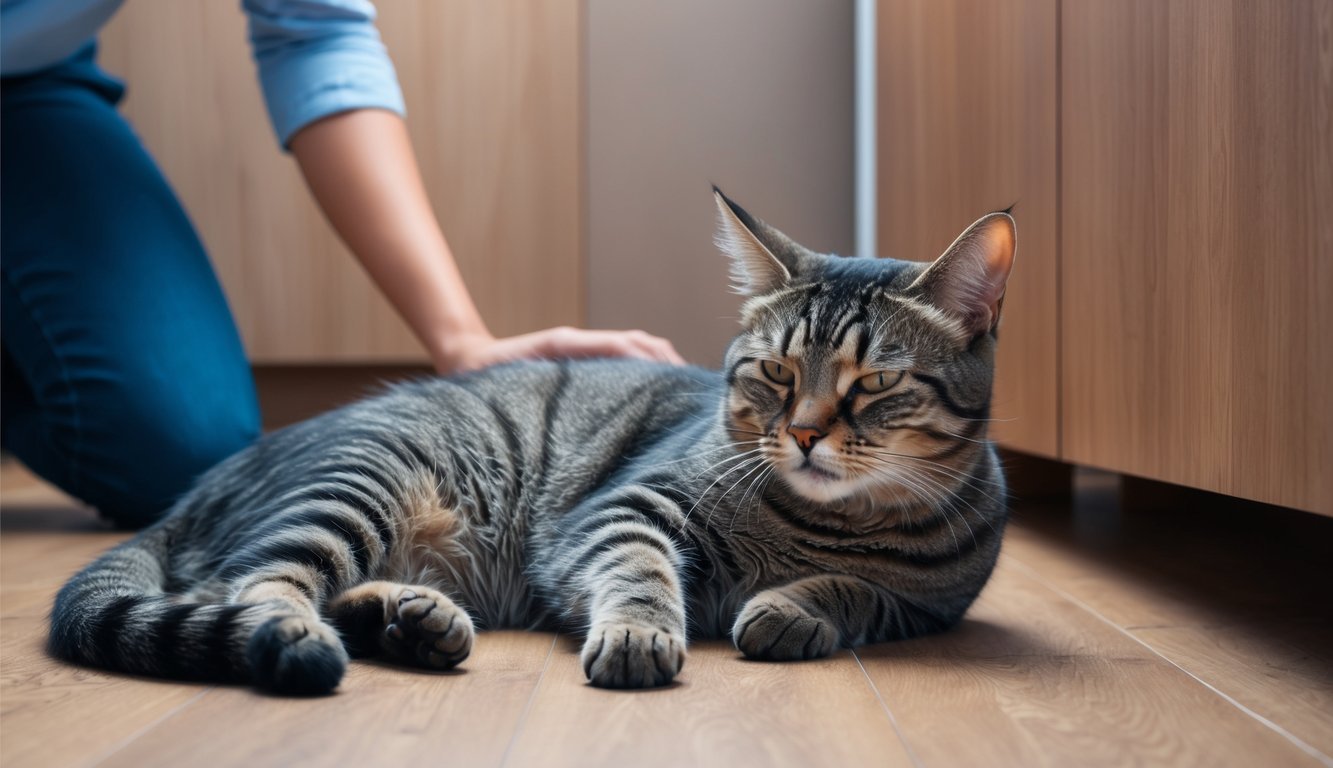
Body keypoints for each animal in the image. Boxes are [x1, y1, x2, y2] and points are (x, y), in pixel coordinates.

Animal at [46, 189, 1013, 693]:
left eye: (872, 384)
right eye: (774, 373)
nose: (804, 434)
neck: (825, 523)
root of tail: (200, 490)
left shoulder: (932, 603)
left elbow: (860, 591)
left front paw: (794, 608)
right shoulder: (618, 510)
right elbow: (639, 568)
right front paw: (640, 633)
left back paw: (408, 619)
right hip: (362, 479)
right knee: (251, 584)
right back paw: (302, 634)